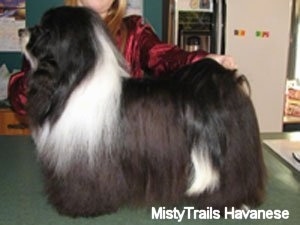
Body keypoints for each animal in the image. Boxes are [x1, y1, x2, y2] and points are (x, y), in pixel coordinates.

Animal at [18, 6, 266, 217]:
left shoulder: (85, 157)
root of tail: (225, 82)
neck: (74, 81)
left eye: (44, 30)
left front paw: (80, 207)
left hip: (230, 160)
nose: (22, 30)